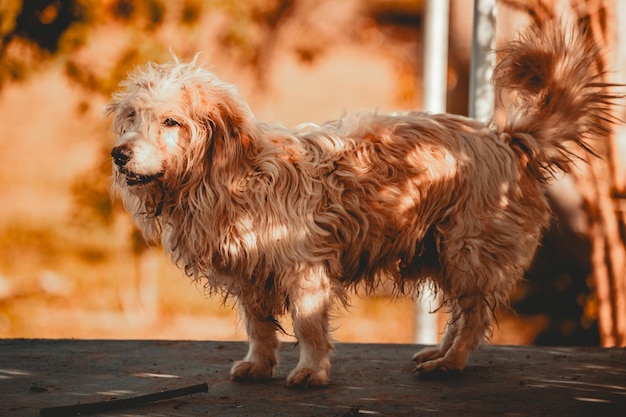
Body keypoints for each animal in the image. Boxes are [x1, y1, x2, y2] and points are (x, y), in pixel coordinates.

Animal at [106, 20, 616, 386]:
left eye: (171, 122)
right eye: (131, 117)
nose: (119, 154)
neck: (233, 177)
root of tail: (507, 139)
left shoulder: (303, 269)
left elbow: (309, 327)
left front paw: (311, 372)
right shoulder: (251, 274)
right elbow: (259, 326)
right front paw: (260, 364)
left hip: (468, 251)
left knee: (473, 318)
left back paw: (449, 364)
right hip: (445, 253)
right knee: (461, 315)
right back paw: (439, 352)